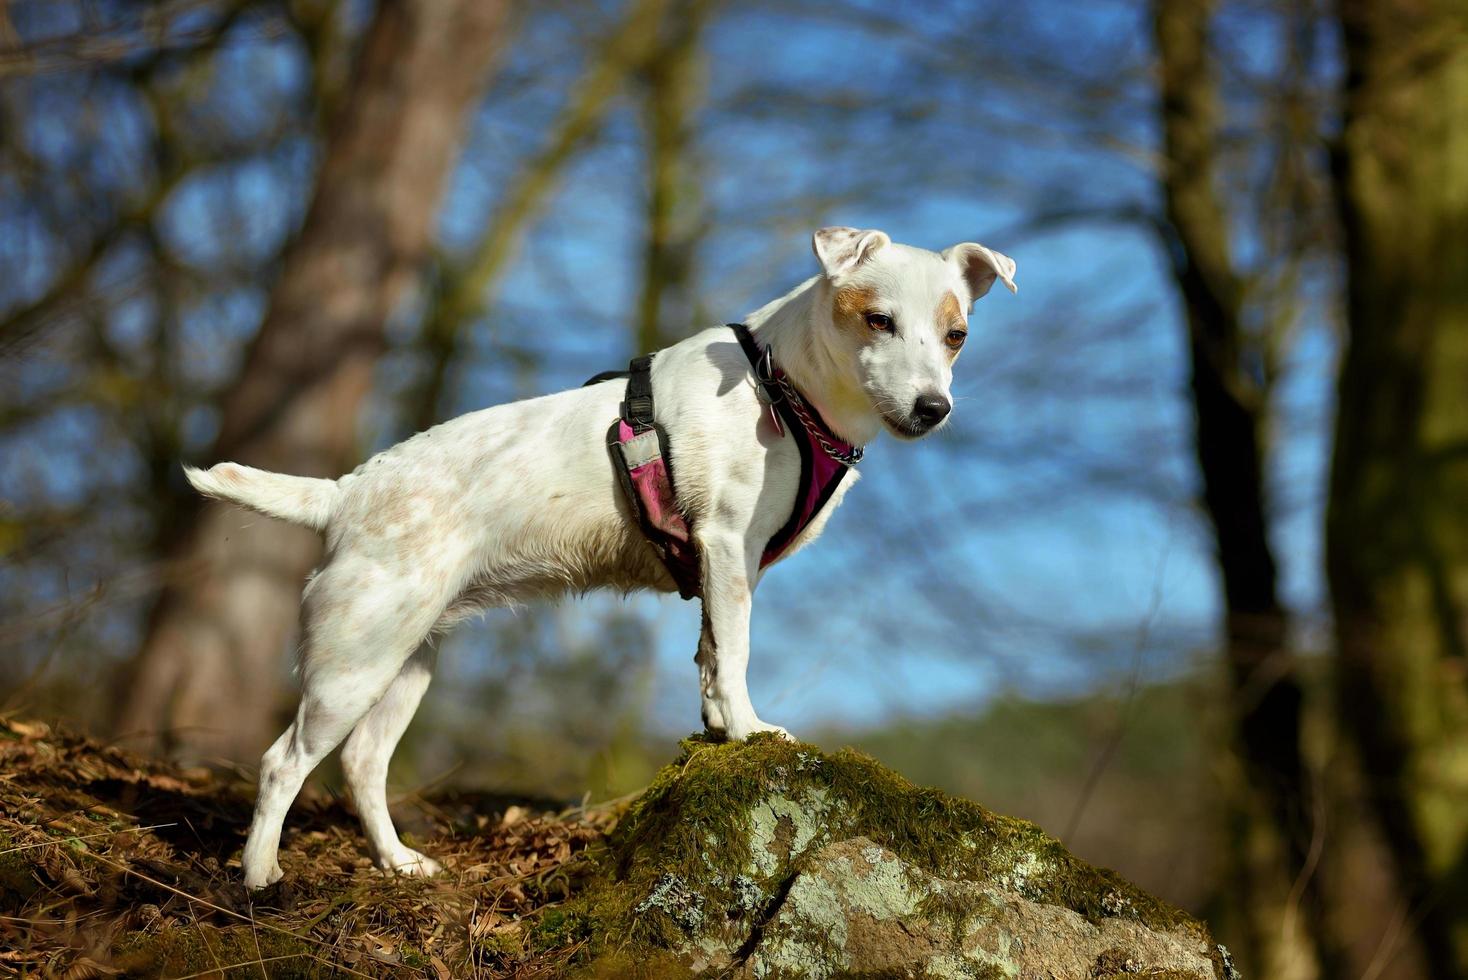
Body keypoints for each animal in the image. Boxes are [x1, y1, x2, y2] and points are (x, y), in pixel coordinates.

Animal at [183, 227, 1015, 886]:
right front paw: (749, 730)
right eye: (878, 320)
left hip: (405, 662)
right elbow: (738, 654)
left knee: (362, 766)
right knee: (283, 763)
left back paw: (397, 863)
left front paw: (718, 726)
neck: (784, 386)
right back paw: (260, 877)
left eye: (956, 336)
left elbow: (711, 657)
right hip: (350, 663)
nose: (933, 409)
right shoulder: (727, 545)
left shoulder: (720, 567)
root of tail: (346, 493)